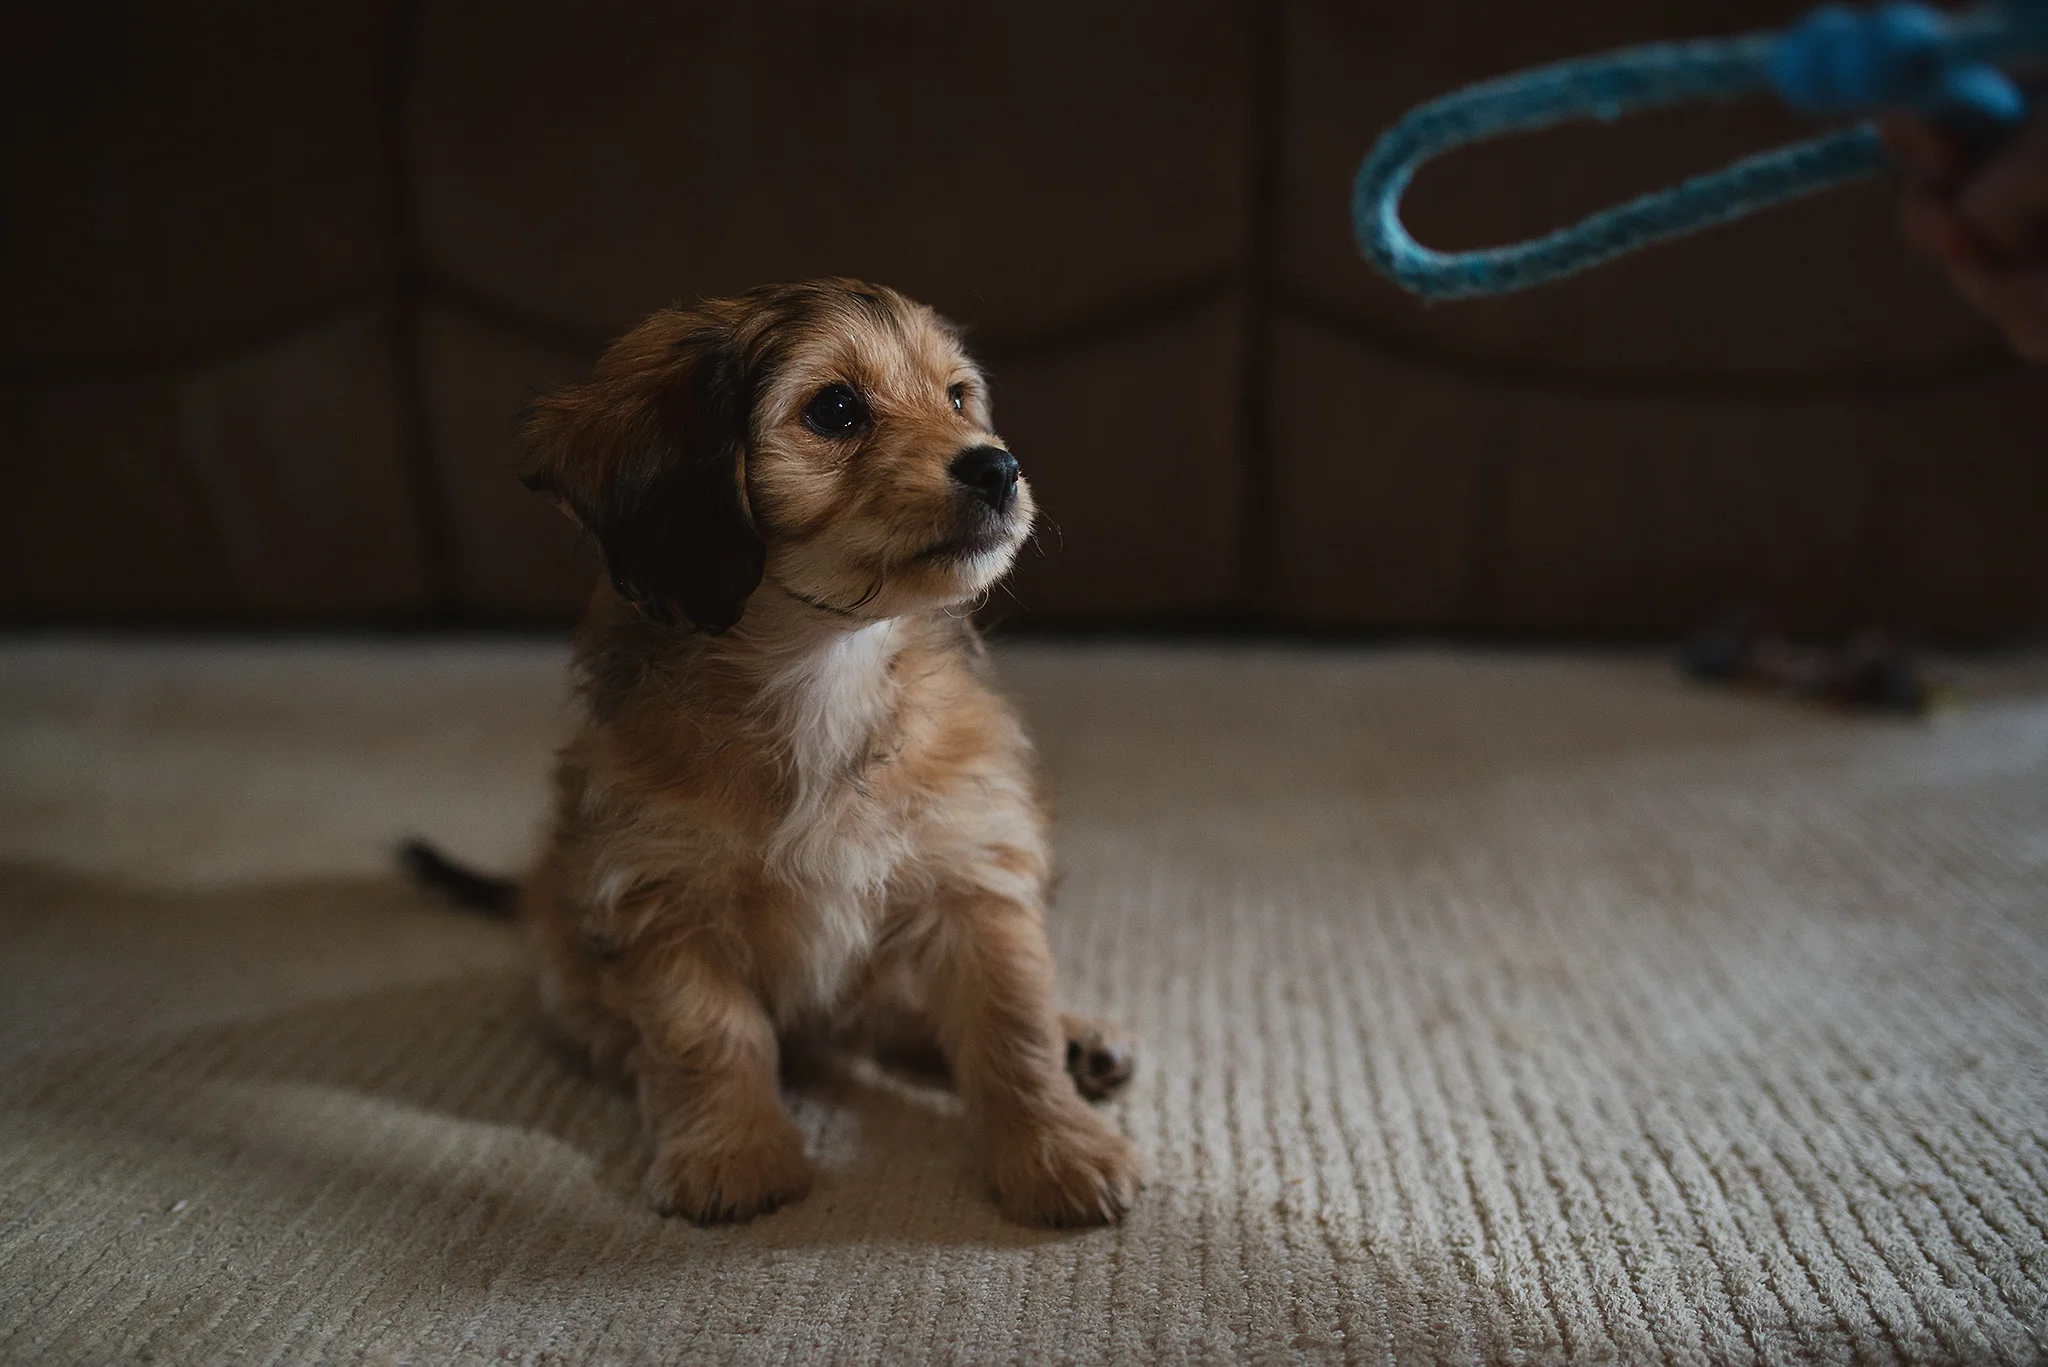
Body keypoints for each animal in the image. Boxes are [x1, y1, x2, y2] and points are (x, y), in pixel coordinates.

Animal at [417, 279, 1141, 1227]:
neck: (823, 667)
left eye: (956, 399)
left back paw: (1079, 1041)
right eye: (834, 409)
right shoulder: (660, 894)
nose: (999, 467)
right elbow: (706, 1032)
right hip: (570, 967)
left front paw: (1056, 1149)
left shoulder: (972, 873)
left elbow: (1010, 1026)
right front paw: (734, 1151)